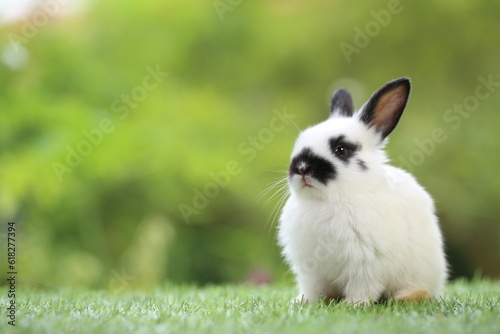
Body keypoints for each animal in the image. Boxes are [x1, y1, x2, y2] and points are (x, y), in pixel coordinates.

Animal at [280, 79, 448, 306]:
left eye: (341, 150)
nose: (302, 168)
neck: (330, 201)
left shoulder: (366, 265)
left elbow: (362, 288)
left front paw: (352, 306)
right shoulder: (312, 270)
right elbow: (313, 290)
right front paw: (302, 302)